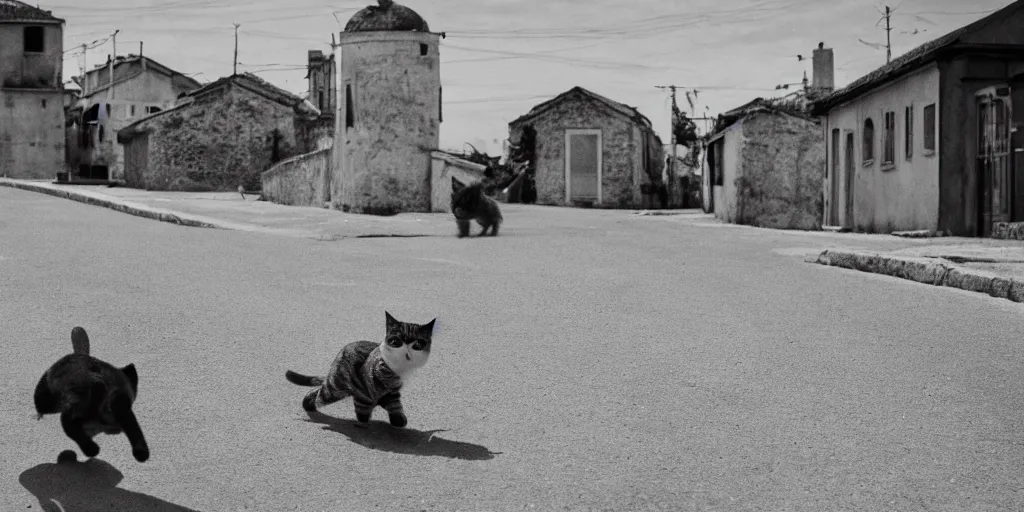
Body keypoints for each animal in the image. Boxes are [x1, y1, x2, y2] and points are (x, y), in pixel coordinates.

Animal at [284, 311, 436, 428]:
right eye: (396, 342)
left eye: (417, 344)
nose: (407, 352)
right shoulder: (369, 383)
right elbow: (368, 400)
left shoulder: (392, 391)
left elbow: (393, 404)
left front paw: (397, 419)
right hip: (336, 387)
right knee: (320, 393)